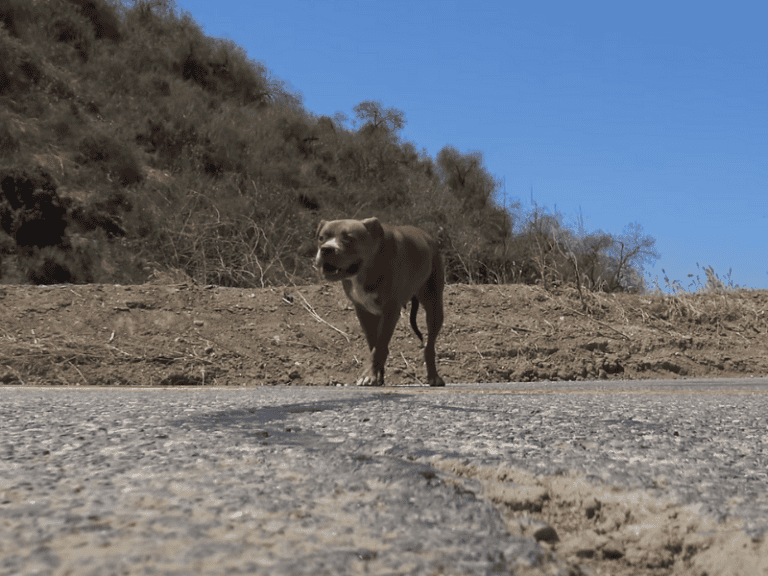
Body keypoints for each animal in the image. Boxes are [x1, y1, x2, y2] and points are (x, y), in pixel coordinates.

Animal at [312, 216, 444, 388]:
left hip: (434, 308)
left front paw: (368, 376)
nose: (326, 249)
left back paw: (434, 377)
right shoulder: (364, 312)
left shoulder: (390, 311)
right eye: (321, 238)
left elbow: (379, 346)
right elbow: (375, 346)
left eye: (348, 238)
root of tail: (429, 237)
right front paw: (376, 375)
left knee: (429, 347)